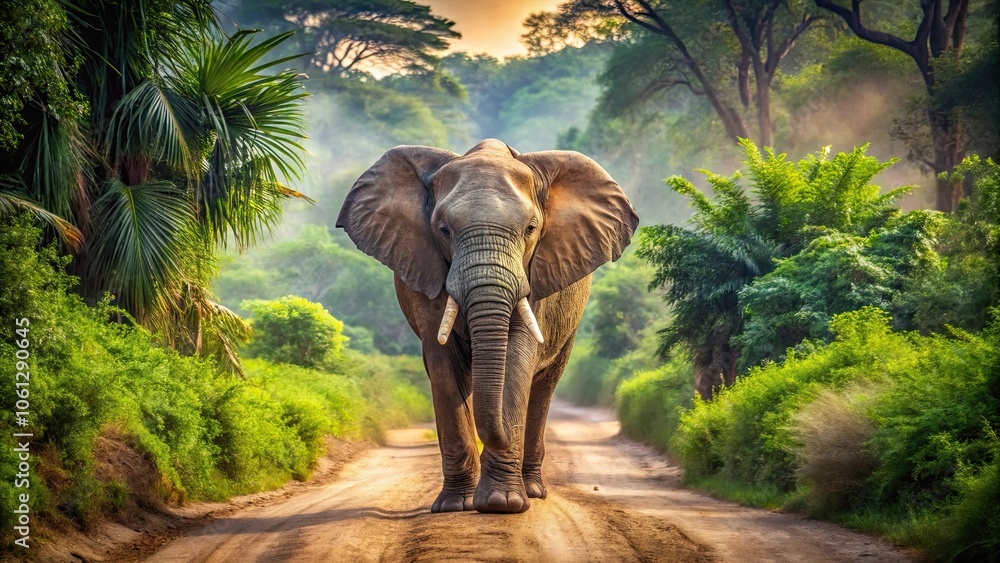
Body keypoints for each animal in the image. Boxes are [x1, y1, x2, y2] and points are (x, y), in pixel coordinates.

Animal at [336, 139, 638, 514]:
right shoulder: (429, 269)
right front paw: (455, 505)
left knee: (544, 387)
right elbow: (443, 362)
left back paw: (532, 489)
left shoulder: (535, 277)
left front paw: (501, 504)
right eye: (444, 230)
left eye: (531, 229)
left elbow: (518, 355)